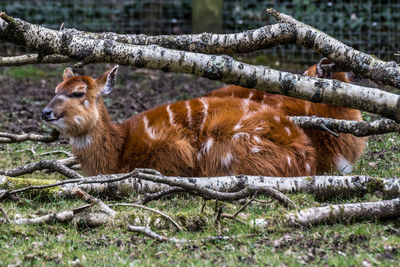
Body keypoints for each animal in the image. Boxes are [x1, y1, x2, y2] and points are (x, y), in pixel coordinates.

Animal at [41, 66, 316, 178]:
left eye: (78, 92)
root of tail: (305, 156)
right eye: (55, 89)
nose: (45, 112)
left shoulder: (174, 150)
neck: (117, 153)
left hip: (226, 144)